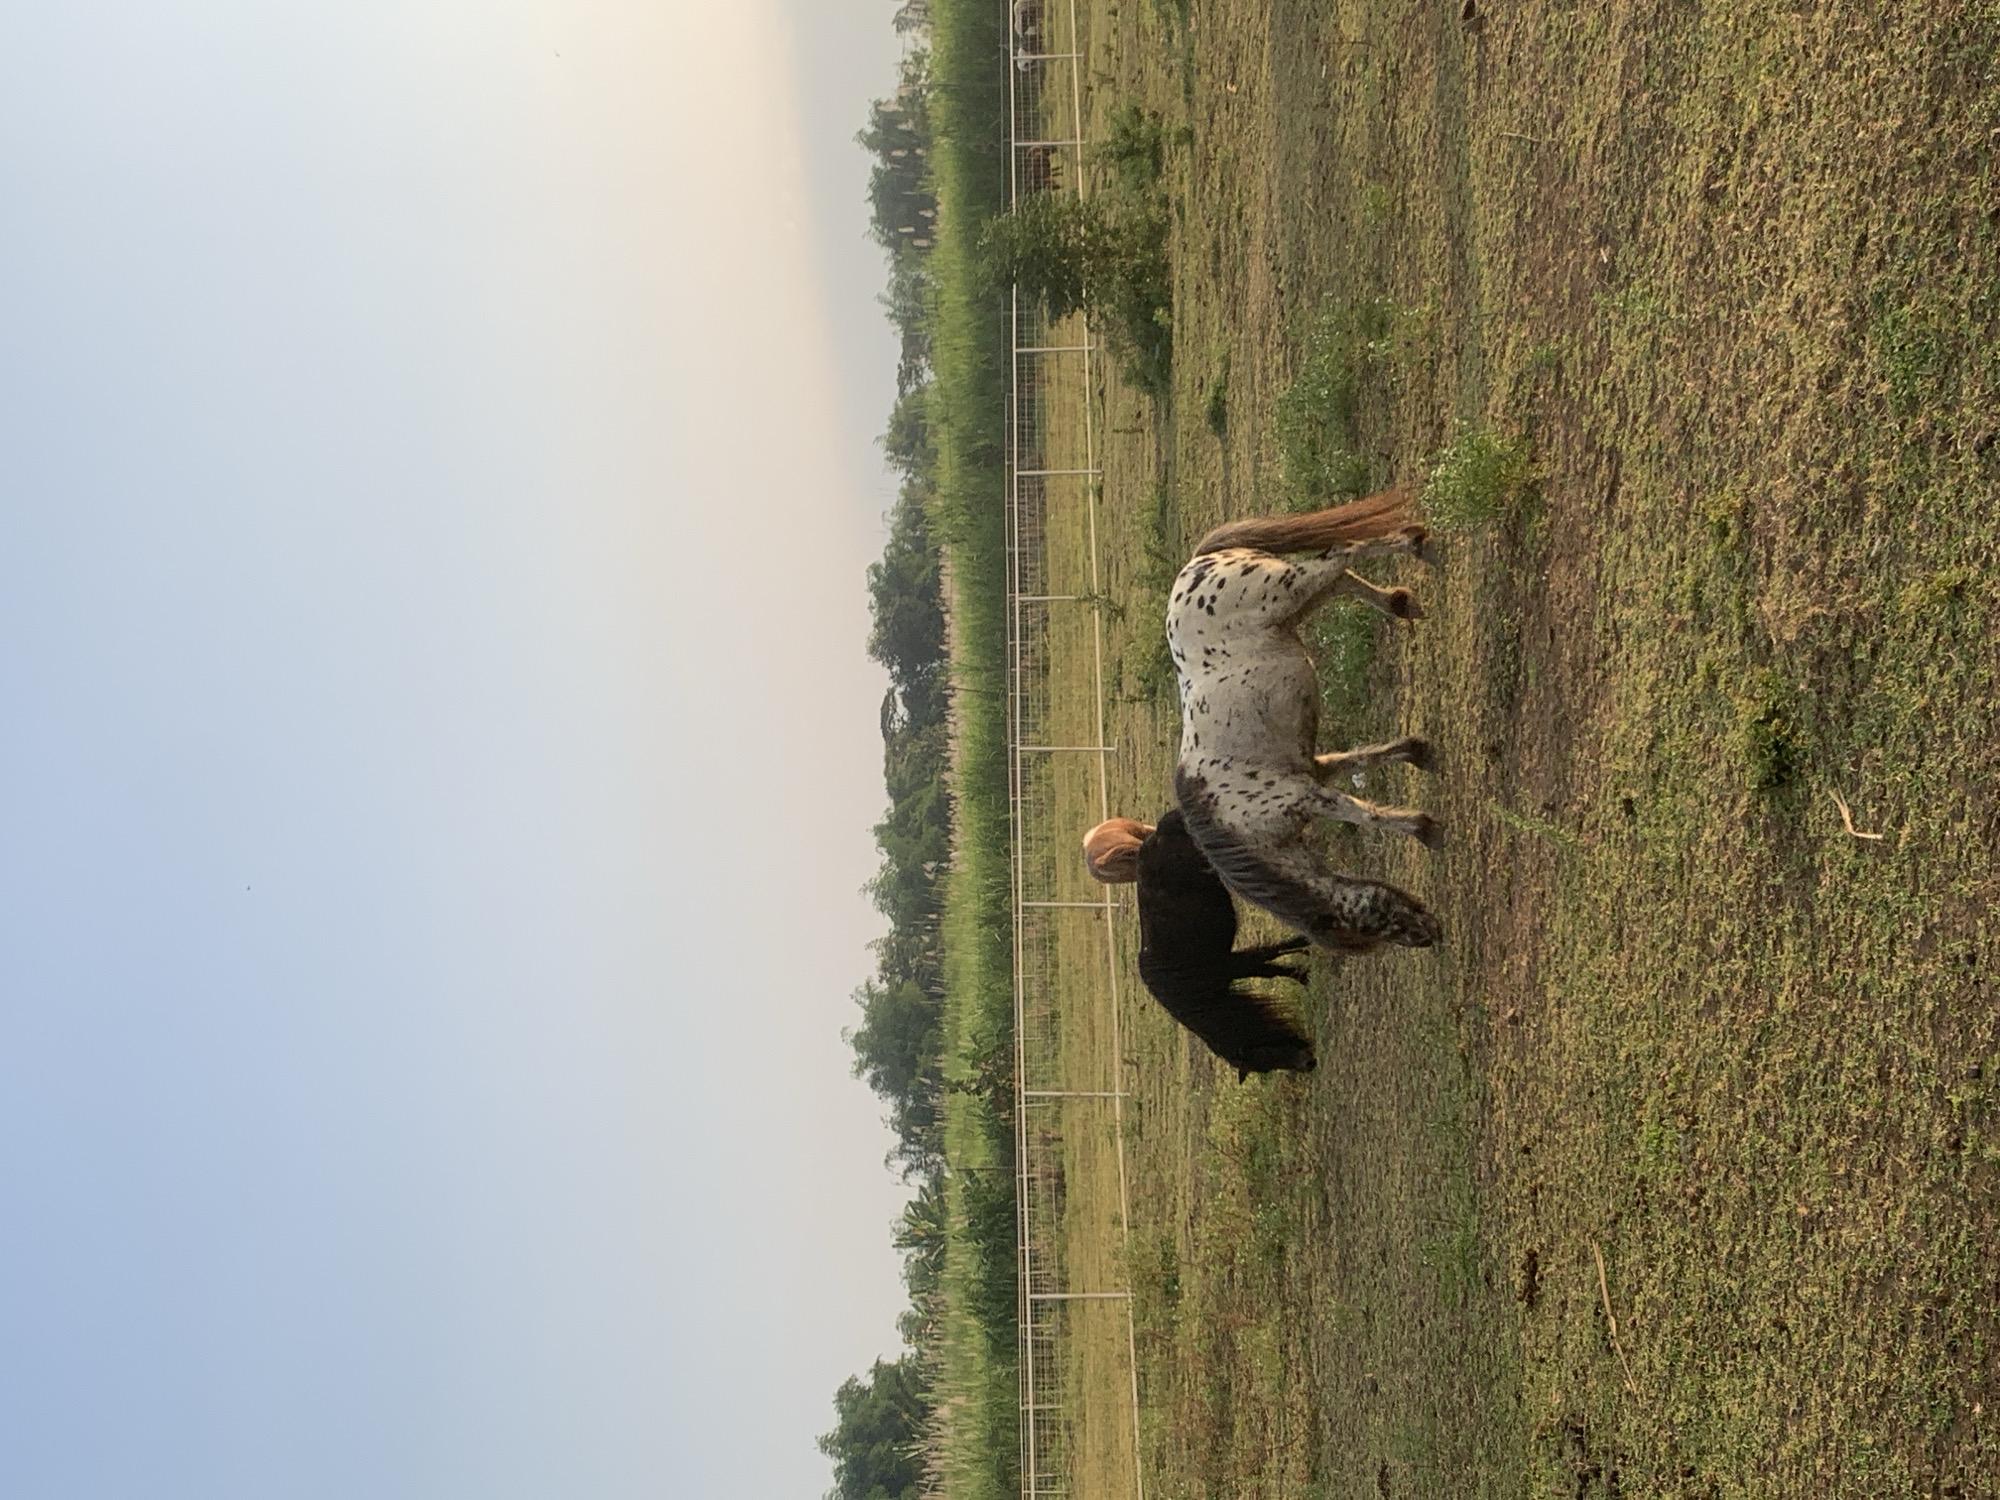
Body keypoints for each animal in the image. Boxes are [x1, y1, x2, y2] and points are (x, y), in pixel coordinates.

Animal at [1083, 810, 1317, 1079]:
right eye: (1265, 1060)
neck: (1183, 984)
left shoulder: (1232, 963)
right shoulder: (1232, 965)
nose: (1309, 1063)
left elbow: (1268, 958)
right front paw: (1302, 969)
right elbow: (1271, 966)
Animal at [1167, 487, 1443, 953]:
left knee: (1339, 553)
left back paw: (1414, 543)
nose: (1431, 933)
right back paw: (1400, 600)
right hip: (1297, 601)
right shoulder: (1316, 771)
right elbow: (1361, 762)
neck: (1232, 816)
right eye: (1371, 926)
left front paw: (1424, 828)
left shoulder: (1306, 794)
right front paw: (1417, 753)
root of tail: (1197, 563)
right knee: (1338, 576)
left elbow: (1364, 815)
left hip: (1287, 588)